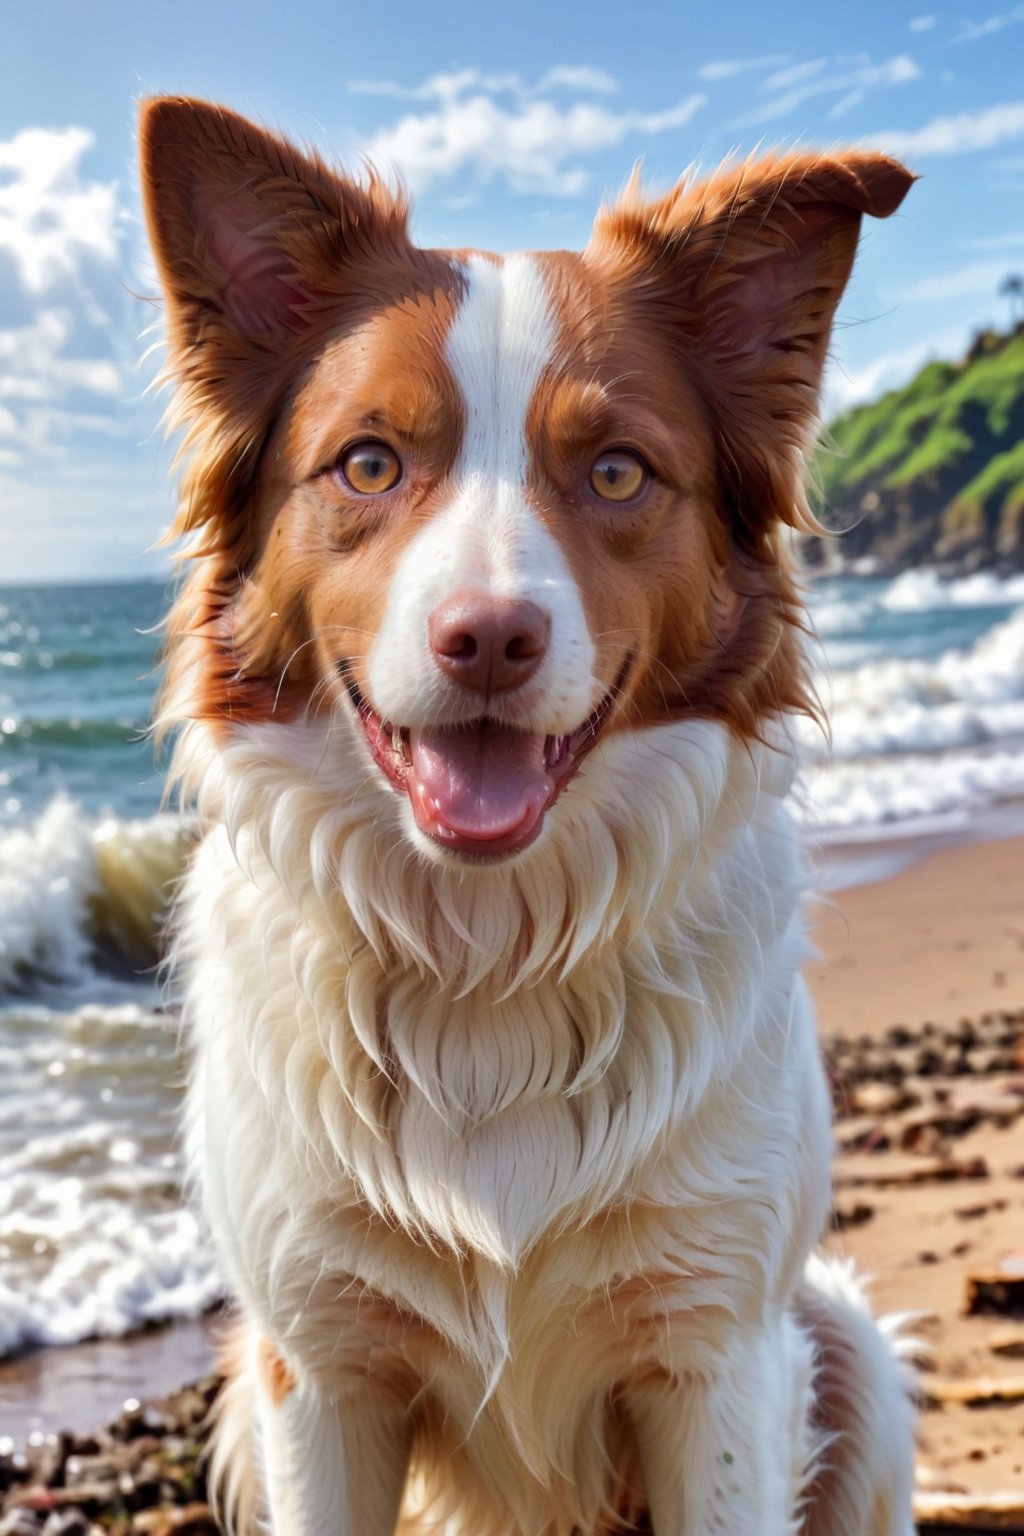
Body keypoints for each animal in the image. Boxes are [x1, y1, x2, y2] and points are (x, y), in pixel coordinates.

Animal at [140, 99, 914, 1536]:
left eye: (615, 472)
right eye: (368, 462)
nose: (489, 638)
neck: (485, 957)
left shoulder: (720, 1352)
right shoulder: (312, 1367)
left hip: (845, 1347)